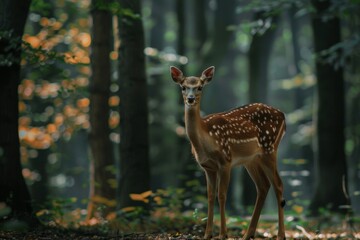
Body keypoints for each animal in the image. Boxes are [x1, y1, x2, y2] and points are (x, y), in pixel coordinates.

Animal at [170, 66, 286, 240]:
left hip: (269, 148)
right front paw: (207, 234)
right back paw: (248, 234)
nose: (190, 99)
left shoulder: (226, 161)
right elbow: (210, 196)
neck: (205, 140)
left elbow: (222, 195)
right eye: (183, 87)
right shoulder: (208, 167)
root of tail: (283, 115)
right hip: (251, 159)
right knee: (263, 186)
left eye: (200, 87)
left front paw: (223, 234)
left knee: (278, 184)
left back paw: (280, 235)